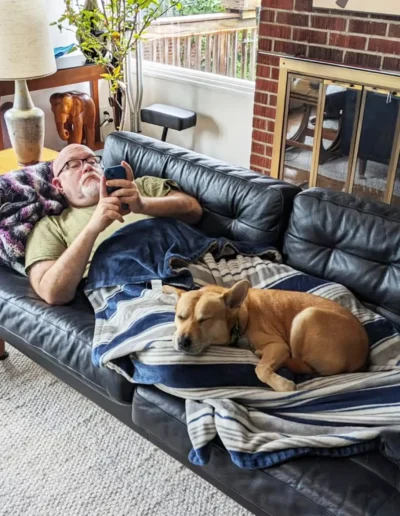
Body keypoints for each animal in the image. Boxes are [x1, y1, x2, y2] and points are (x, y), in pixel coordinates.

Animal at [162, 282, 368, 392]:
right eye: (180, 317)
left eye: (204, 320)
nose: (182, 341)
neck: (239, 318)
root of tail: (361, 356)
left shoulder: (279, 346)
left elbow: (260, 369)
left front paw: (282, 384)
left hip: (306, 315)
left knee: (298, 362)